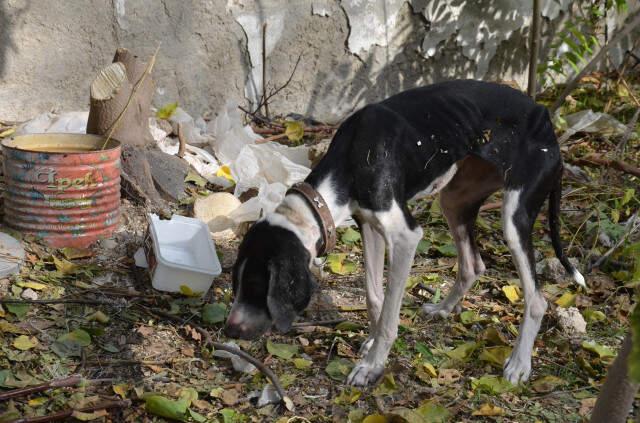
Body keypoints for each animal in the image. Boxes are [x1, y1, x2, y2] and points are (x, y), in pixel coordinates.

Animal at [224, 79, 584, 388]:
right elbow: (374, 297)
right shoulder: (369, 225)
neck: (353, 156)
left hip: (513, 218)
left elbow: (390, 314)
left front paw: (372, 365)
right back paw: (442, 309)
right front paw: (370, 340)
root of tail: (545, 117)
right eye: (236, 282)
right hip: (454, 199)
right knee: (472, 264)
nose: (229, 329)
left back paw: (519, 364)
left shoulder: (406, 236)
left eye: (257, 285)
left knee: (537, 299)